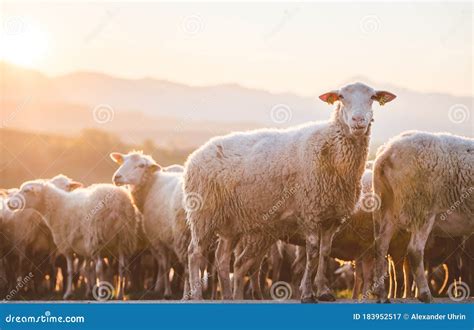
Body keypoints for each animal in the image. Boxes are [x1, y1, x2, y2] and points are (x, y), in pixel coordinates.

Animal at [7, 179, 137, 300]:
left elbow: (70, 271)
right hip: (123, 239)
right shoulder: (85, 249)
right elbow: (86, 269)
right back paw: (120, 295)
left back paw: (101, 295)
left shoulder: (68, 246)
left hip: (96, 239)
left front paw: (68, 294)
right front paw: (88, 292)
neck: (58, 207)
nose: (8, 203)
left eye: (26, 191)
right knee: (122, 268)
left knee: (100, 267)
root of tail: (116, 203)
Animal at [109, 151, 191, 300]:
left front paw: (167, 292)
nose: (117, 177)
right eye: (122, 161)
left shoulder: (158, 238)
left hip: (183, 235)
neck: (150, 185)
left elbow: (164, 265)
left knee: (189, 266)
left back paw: (186, 295)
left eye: (141, 165)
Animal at [185, 82, 396, 302]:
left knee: (222, 258)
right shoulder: (310, 212)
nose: (358, 120)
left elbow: (325, 252)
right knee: (195, 253)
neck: (331, 146)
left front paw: (323, 291)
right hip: (203, 214)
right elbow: (313, 253)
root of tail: (194, 156)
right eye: (341, 97)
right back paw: (198, 296)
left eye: (372, 97)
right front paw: (307, 294)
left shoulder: (332, 218)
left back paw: (227, 296)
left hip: (230, 223)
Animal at [374, 130, 474, 302]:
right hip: (422, 209)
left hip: (388, 208)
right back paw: (425, 294)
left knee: (381, 246)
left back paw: (381, 294)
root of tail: (387, 151)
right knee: (414, 250)